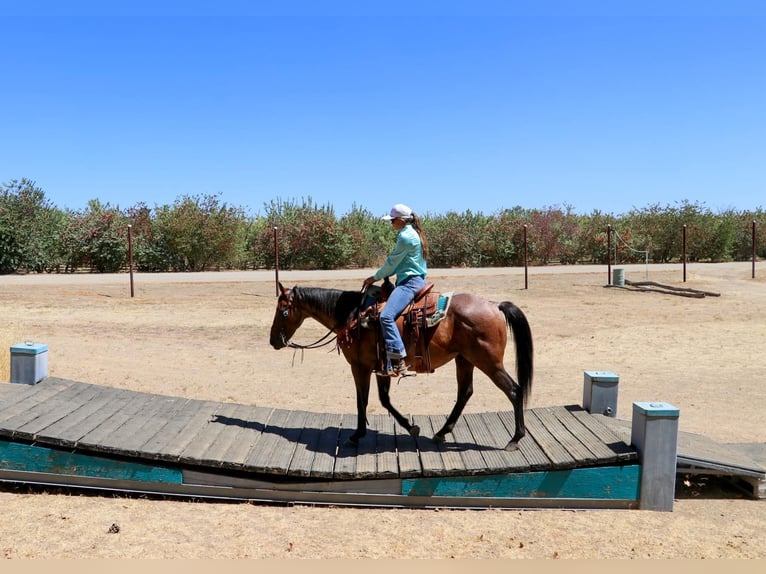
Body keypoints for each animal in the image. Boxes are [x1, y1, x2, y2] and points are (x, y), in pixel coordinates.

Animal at [269, 282, 533, 451]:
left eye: (283, 311)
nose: (273, 341)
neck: (353, 316)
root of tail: (495, 305)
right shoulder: (380, 367)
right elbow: (384, 399)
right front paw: (410, 427)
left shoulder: (360, 366)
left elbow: (363, 400)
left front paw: (356, 435)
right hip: (465, 360)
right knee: (465, 392)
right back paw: (441, 433)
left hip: (488, 362)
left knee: (514, 390)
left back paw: (515, 439)